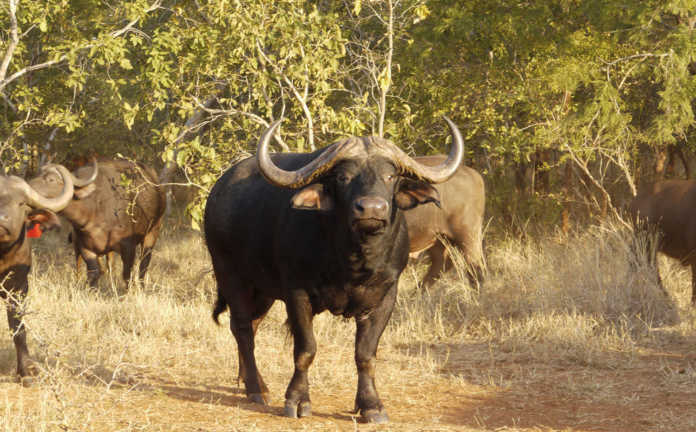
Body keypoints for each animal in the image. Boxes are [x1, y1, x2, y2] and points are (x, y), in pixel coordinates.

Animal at [29, 159, 166, 287]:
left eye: (51, 179)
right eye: (37, 175)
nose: (28, 188)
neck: (94, 209)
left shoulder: (129, 247)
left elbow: (127, 275)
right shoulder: (85, 247)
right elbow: (94, 273)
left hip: (153, 231)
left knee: (144, 263)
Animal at [204, 118, 464, 423]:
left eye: (390, 176)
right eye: (343, 178)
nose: (371, 208)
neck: (352, 261)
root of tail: (218, 192)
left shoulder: (385, 297)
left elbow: (365, 354)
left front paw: (370, 405)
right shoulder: (297, 294)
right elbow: (306, 349)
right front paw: (298, 400)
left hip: (262, 289)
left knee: (250, 325)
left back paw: (252, 382)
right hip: (230, 275)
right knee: (243, 328)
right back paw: (256, 389)